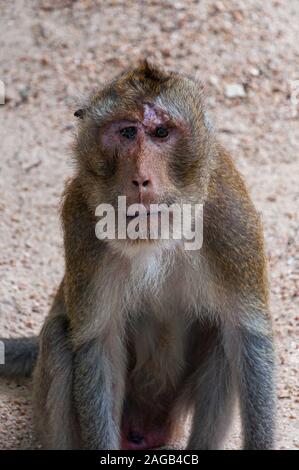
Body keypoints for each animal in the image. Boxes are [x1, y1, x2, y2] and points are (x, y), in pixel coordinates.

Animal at [0, 60, 276, 450]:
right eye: (127, 132)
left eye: (161, 132)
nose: (141, 179)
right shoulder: (81, 220)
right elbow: (98, 345)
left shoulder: (229, 215)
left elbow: (246, 334)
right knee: (57, 338)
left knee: (223, 340)